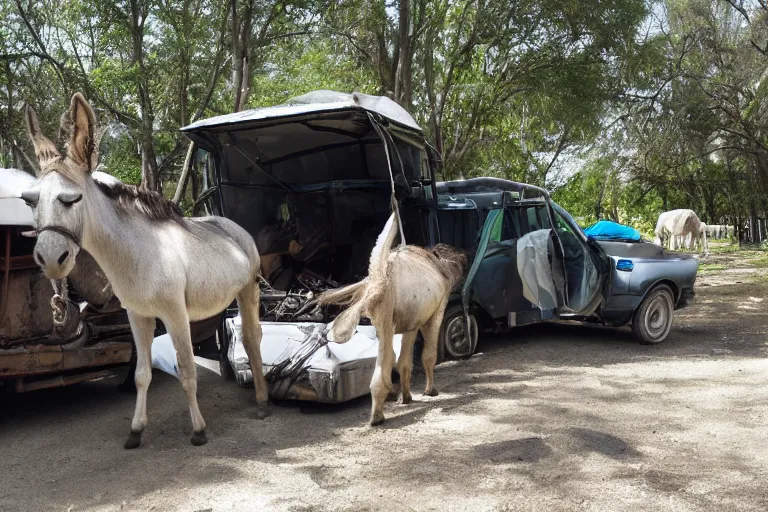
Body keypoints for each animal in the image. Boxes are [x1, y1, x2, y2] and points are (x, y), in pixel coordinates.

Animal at [18, 93, 270, 448]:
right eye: (30, 201)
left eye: (72, 199)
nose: (52, 259)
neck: (140, 253)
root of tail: (233, 227)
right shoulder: (138, 316)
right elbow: (141, 374)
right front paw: (136, 430)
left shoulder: (175, 315)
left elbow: (187, 370)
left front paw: (199, 430)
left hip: (248, 292)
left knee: (251, 339)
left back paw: (262, 401)